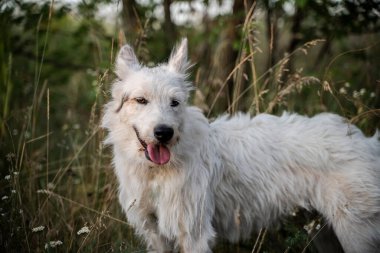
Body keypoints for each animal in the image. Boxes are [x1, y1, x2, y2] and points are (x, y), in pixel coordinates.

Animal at [101, 38, 380, 252]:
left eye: (174, 103)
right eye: (141, 100)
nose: (164, 133)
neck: (156, 173)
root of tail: (368, 142)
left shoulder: (194, 234)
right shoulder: (155, 235)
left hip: (355, 233)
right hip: (323, 232)